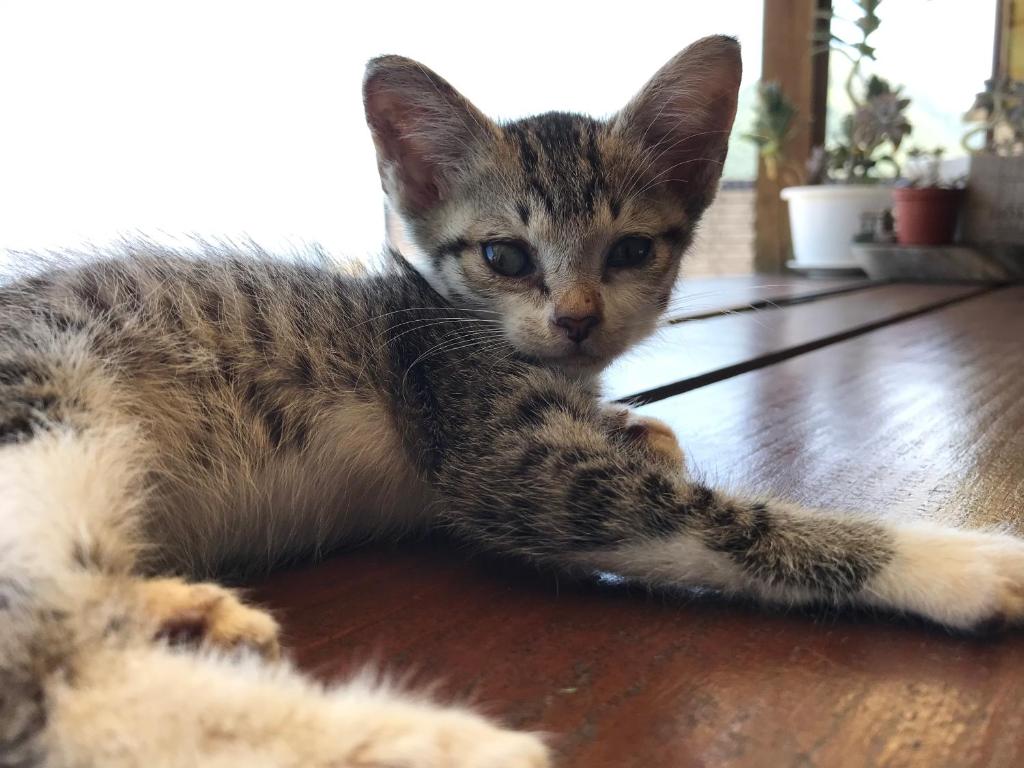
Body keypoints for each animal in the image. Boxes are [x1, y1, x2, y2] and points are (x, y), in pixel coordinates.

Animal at [2, 34, 1024, 768]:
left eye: (631, 251)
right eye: (505, 256)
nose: (576, 319)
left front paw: (640, 424)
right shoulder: (494, 447)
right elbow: (735, 523)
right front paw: (960, 562)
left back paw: (180, 614)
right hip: (46, 405)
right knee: (49, 676)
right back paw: (419, 744)